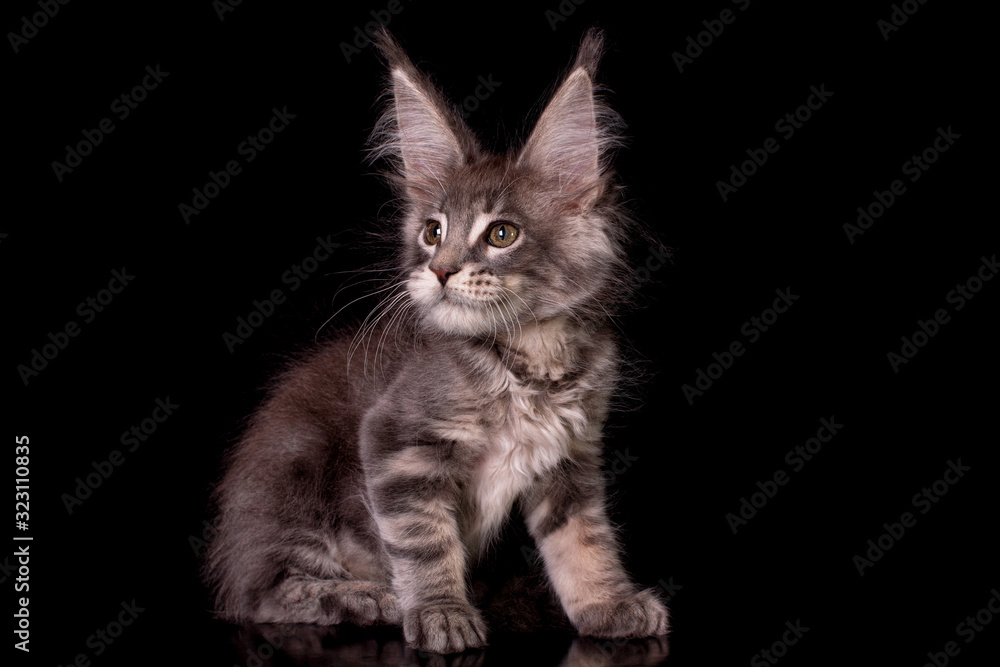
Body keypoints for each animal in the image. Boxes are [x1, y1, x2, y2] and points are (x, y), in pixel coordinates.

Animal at [204, 27, 668, 656]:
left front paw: (607, 604)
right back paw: (364, 597)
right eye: (432, 231)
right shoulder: (396, 439)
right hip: (294, 478)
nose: (441, 270)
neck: (531, 356)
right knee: (265, 594)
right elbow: (423, 540)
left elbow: (585, 540)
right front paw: (440, 611)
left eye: (502, 234)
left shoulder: (572, 457)